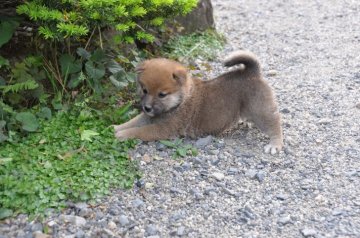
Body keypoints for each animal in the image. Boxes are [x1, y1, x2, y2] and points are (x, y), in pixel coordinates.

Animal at [114, 50, 282, 154]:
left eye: (162, 94)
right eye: (144, 90)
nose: (146, 107)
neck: (180, 101)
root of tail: (252, 72)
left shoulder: (164, 129)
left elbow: (140, 131)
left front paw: (122, 134)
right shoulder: (149, 117)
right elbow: (132, 122)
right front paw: (116, 127)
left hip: (261, 110)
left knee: (274, 124)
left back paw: (275, 144)